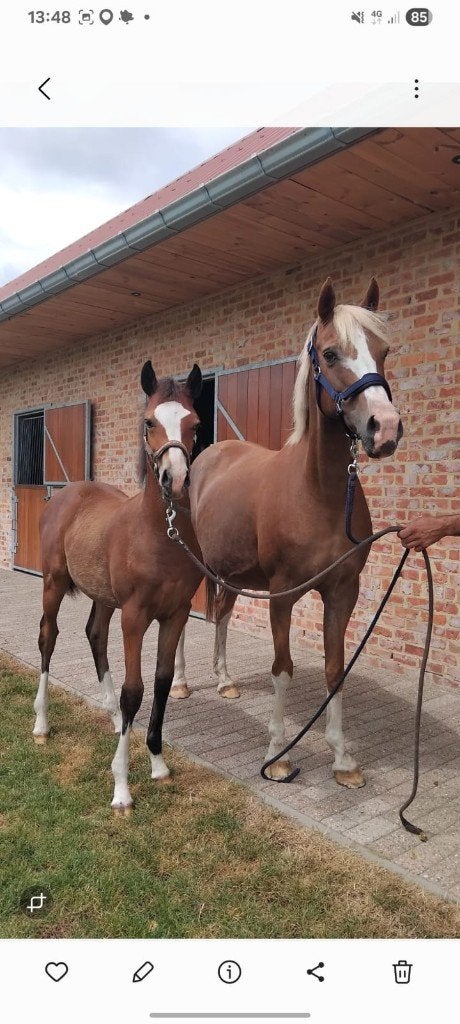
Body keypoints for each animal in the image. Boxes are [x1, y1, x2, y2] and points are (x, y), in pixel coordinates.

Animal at [33, 362, 203, 813]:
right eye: (148, 422)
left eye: (195, 424)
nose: (174, 479)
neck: (159, 534)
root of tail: (67, 494)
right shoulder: (135, 616)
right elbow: (134, 690)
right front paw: (122, 786)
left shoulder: (176, 614)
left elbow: (161, 681)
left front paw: (158, 762)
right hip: (54, 583)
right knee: (48, 637)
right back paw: (41, 723)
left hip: (103, 597)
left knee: (94, 634)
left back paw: (111, 718)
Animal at [174, 277, 403, 788]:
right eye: (331, 353)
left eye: (384, 350)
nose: (385, 429)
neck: (317, 492)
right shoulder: (282, 594)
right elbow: (283, 668)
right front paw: (277, 755)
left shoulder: (342, 591)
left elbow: (335, 668)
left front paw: (342, 759)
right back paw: (179, 685)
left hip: (230, 574)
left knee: (222, 616)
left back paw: (225, 681)